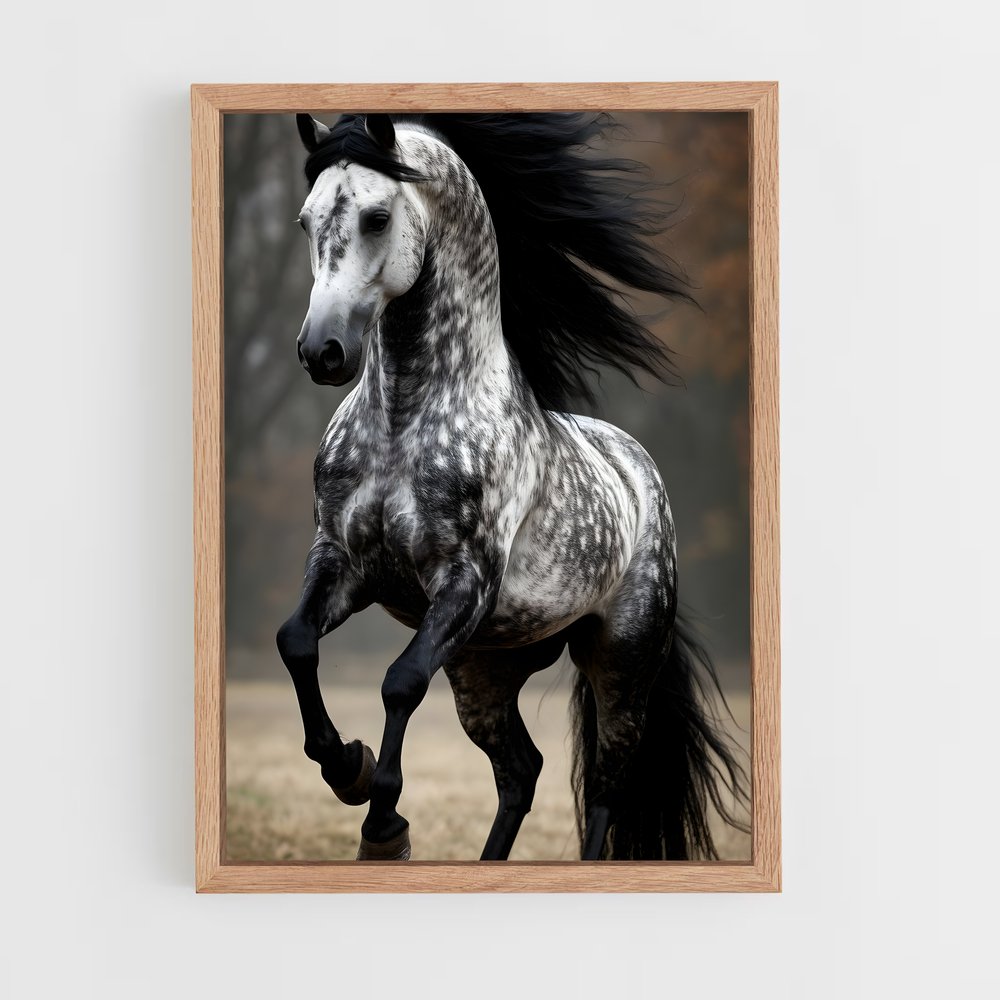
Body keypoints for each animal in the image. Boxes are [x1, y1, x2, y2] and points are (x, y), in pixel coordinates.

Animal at [275, 111, 749, 861]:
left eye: (378, 216)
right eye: (305, 219)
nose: (322, 352)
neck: (407, 421)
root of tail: (639, 472)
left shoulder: (463, 581)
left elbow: (400, 682)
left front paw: (383, 826)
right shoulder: (342, 561)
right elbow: (294, 641)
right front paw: (348, 769)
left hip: (619, 664)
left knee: (608, 785)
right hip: (485, 669)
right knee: (521, 772)